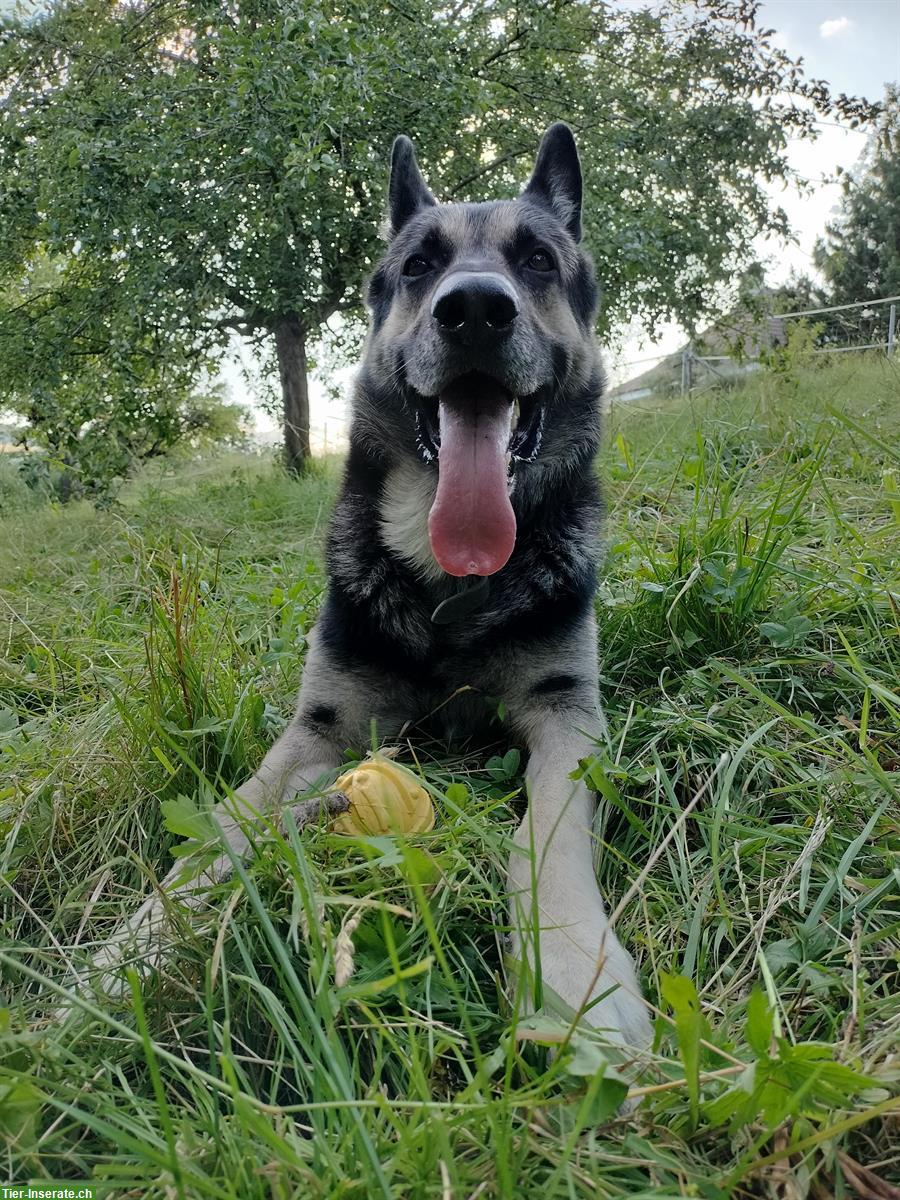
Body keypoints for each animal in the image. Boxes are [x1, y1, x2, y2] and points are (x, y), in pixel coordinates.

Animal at [84, 124, 652, 1051]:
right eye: (419, 267)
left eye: (537, 260)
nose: (475, 309)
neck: (449, 581)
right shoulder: (320, 731)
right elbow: (226, 825)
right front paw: (135, 948)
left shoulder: (568, 720)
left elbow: (548, 834)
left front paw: (575, 974)